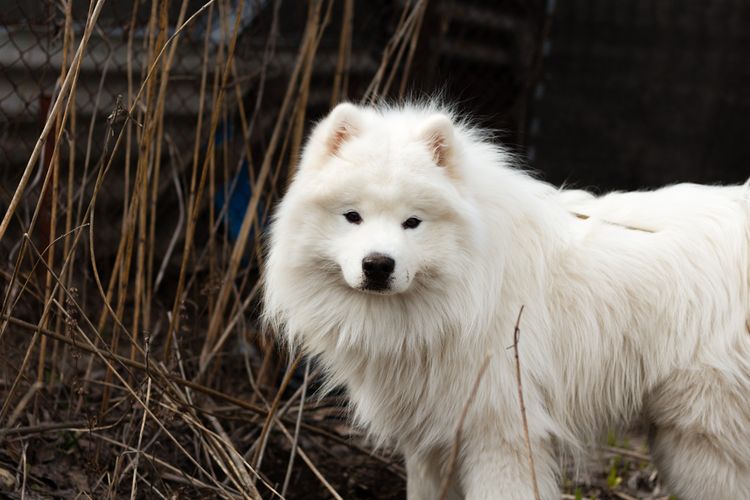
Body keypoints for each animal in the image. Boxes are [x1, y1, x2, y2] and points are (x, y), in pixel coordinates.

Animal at [262, 102, 750, 500]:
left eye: (412, 222)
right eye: (353, 216)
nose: (378, 265)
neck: (468, 285)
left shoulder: (503, 432)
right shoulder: (432, 440)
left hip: (701, 443)